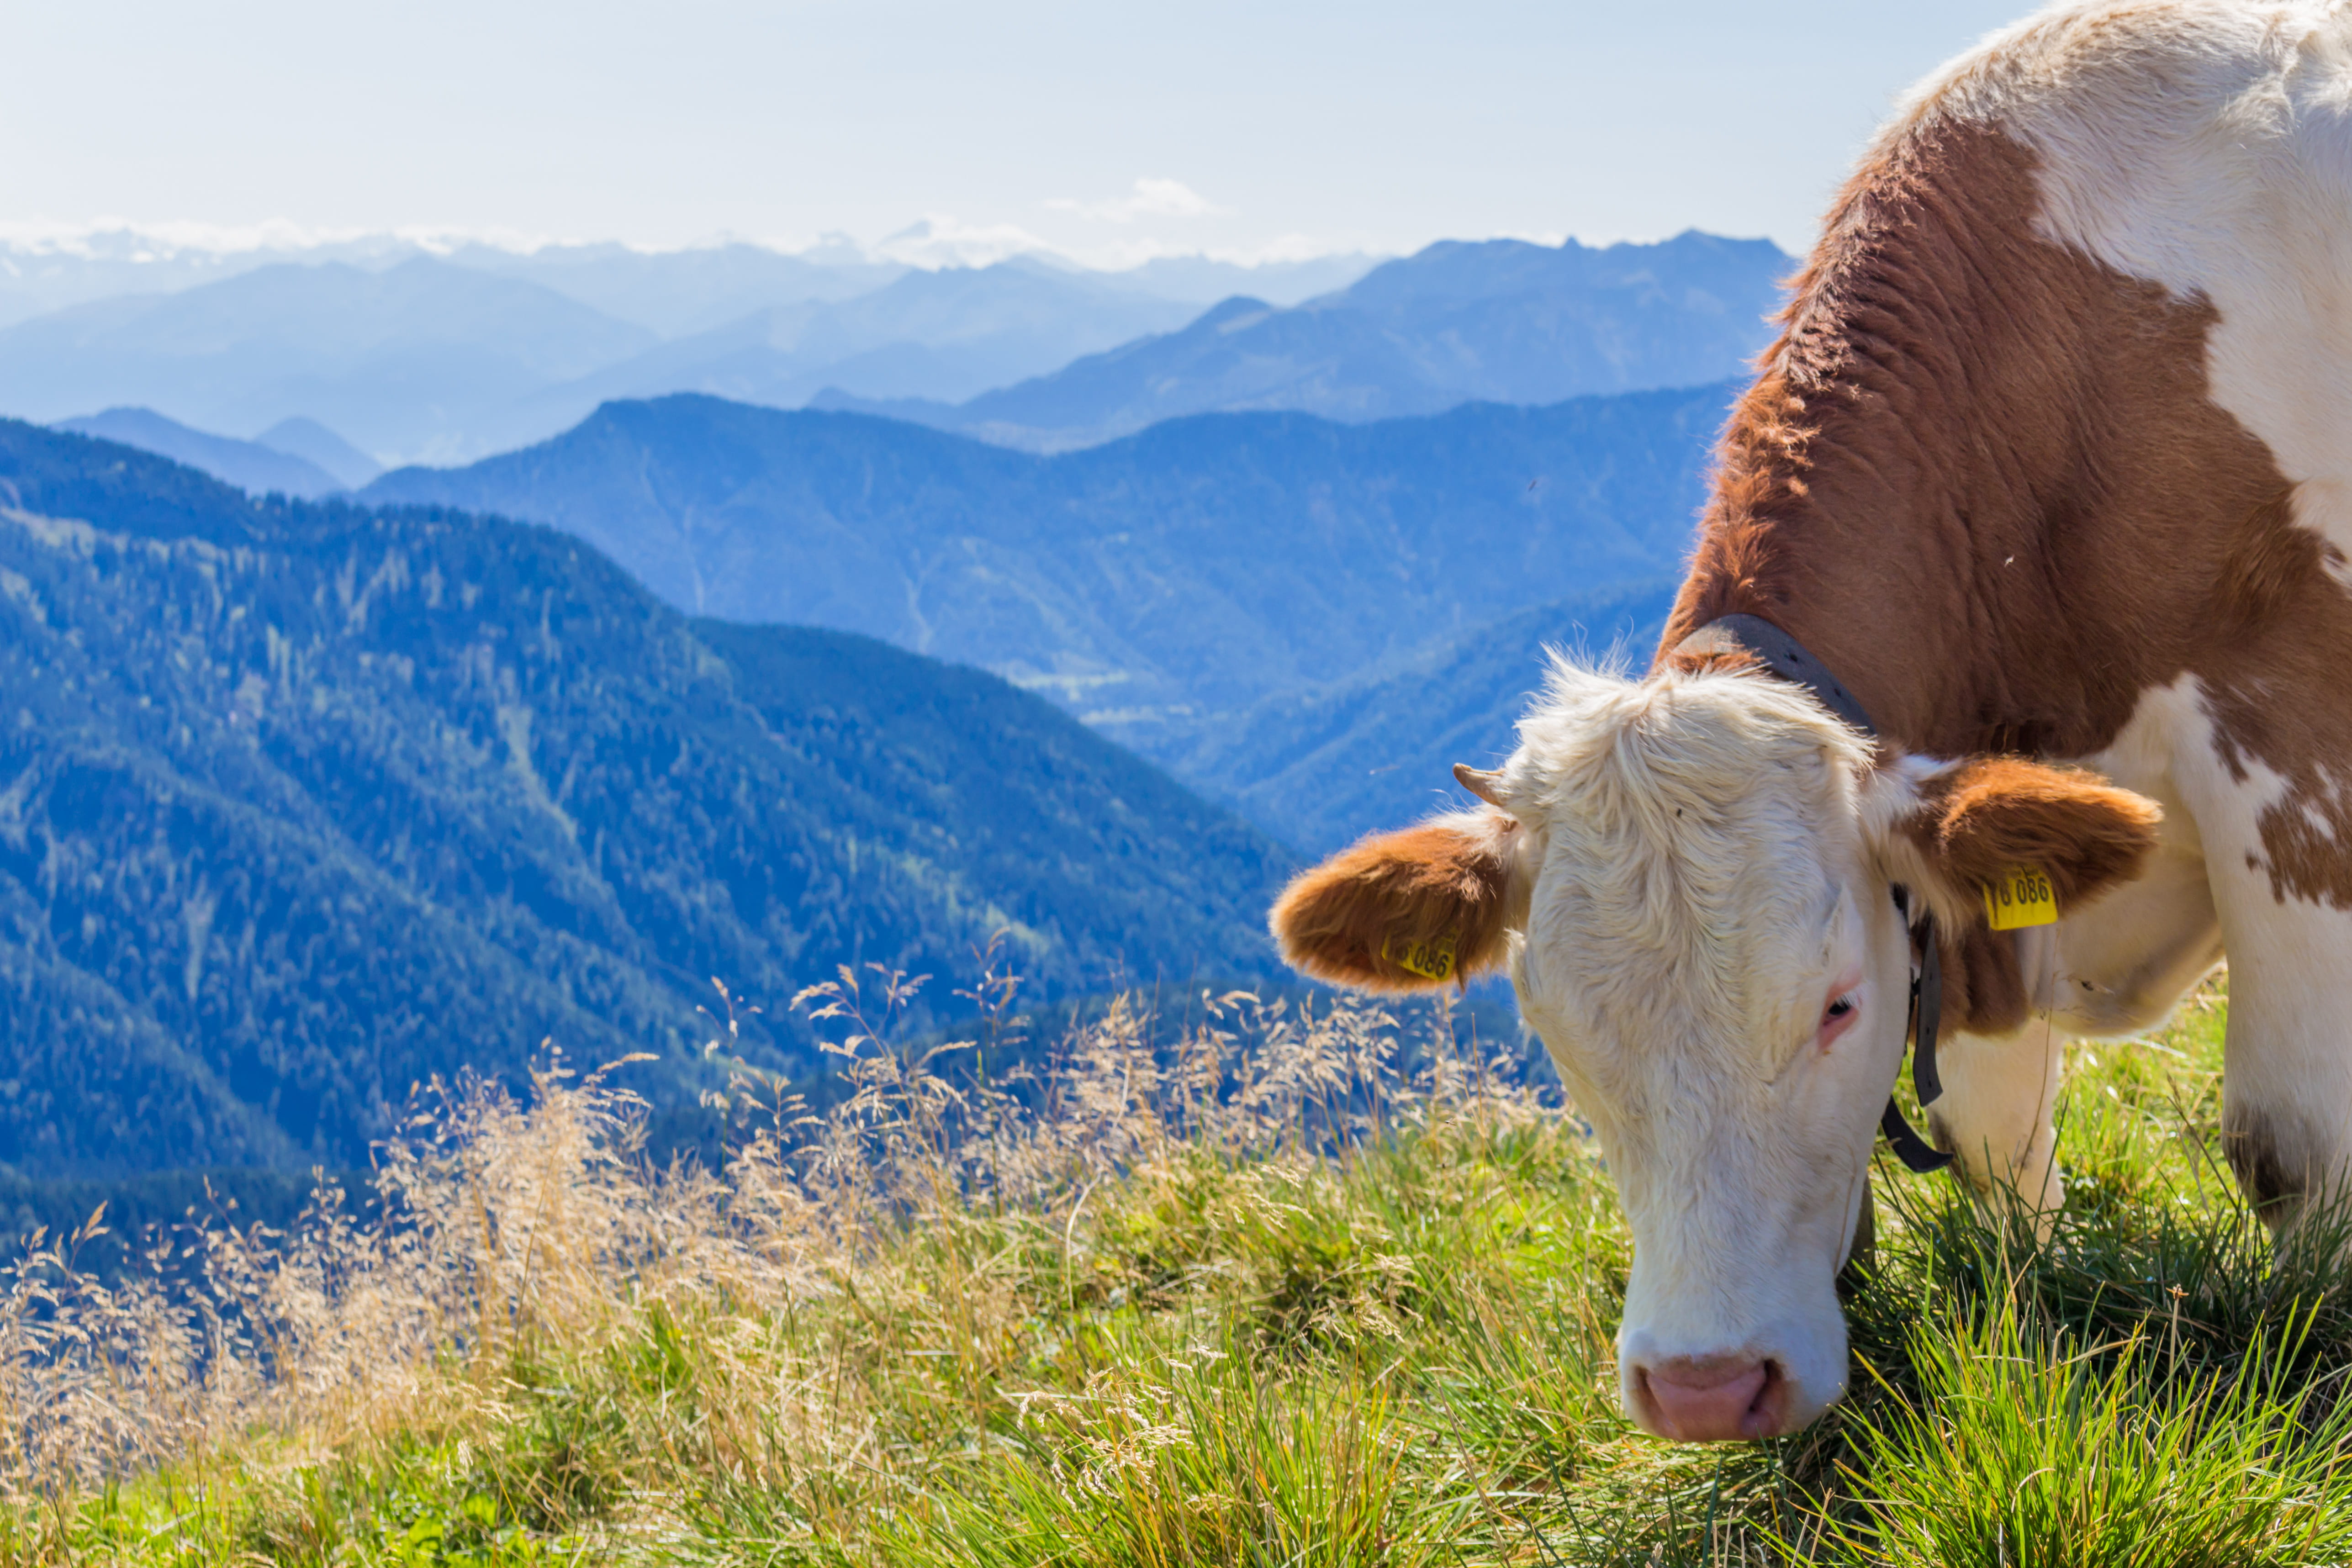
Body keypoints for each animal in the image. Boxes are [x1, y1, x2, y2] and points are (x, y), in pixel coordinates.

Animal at [1271, 0, 2352, 1442]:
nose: (1702, 1383)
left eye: (1837, 1005)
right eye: (1549, 1027)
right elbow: (1996, 1136)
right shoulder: (1979, 883)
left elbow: (2287, 1143)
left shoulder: (2287, 745)